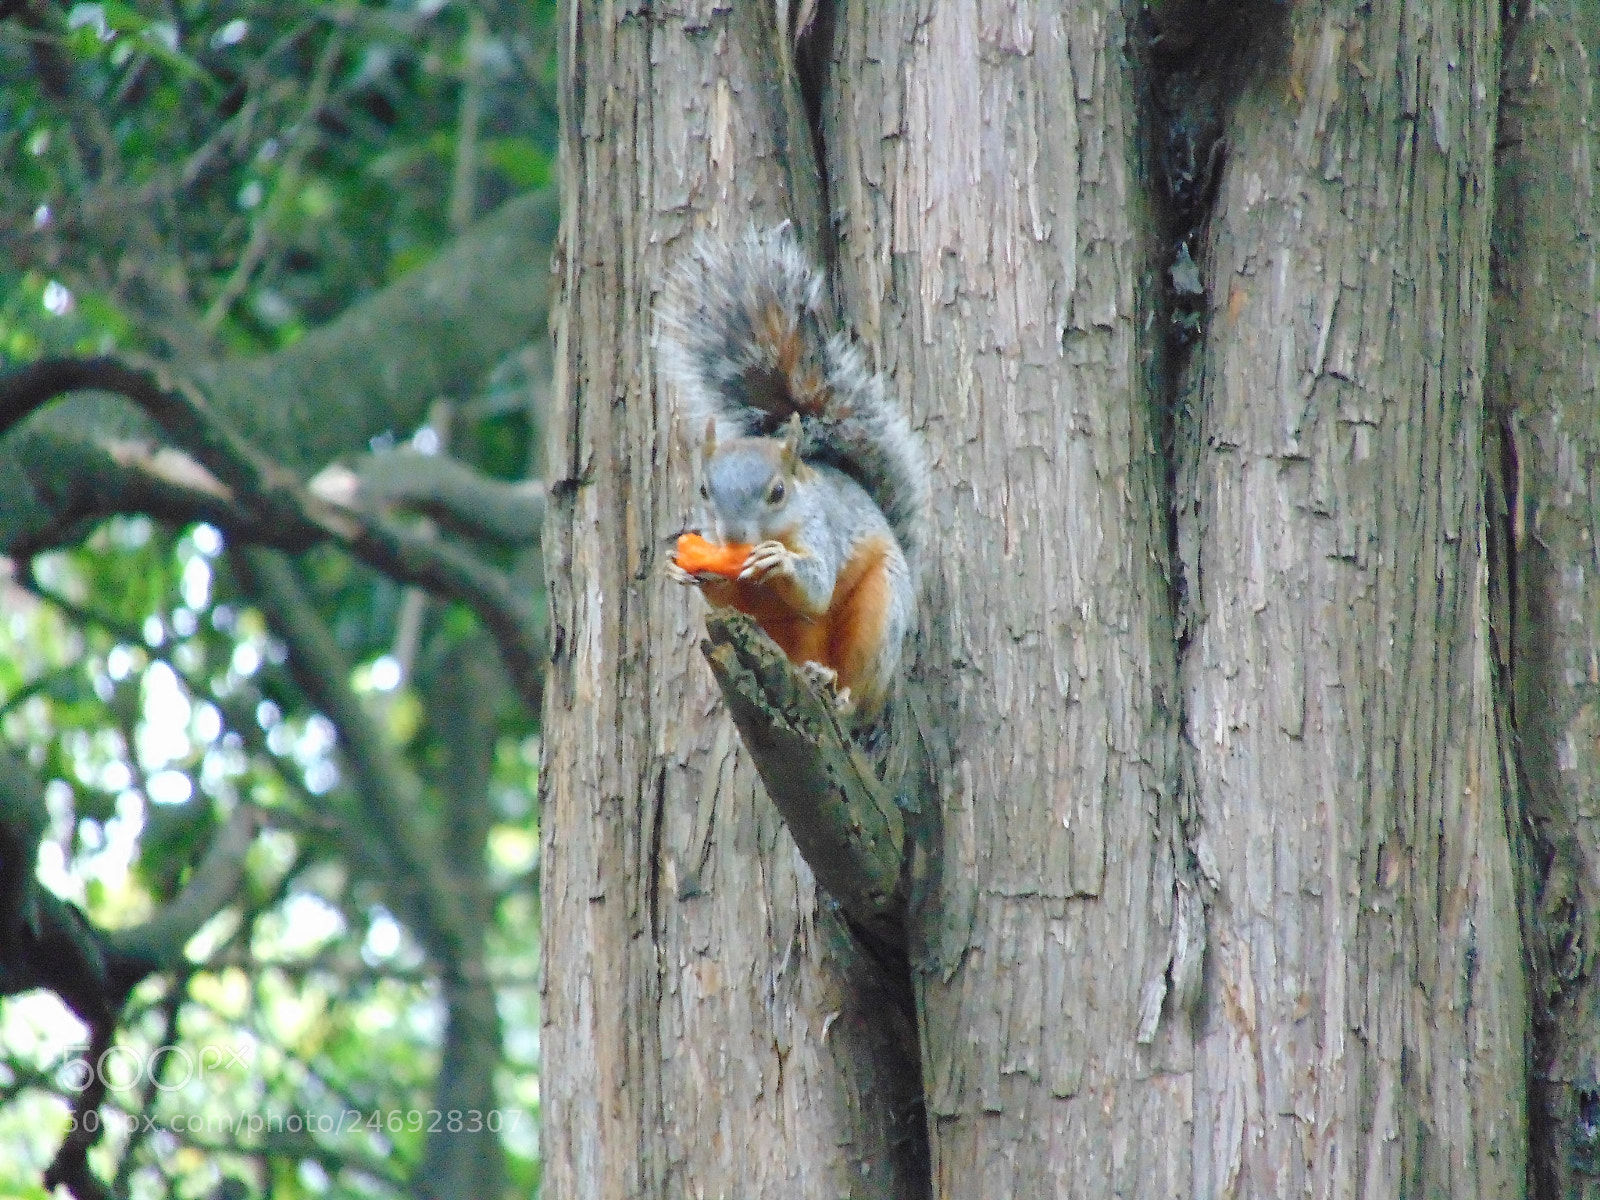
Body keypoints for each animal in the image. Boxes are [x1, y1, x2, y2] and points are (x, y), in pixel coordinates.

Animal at [657, 226, 929, 724]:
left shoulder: (823, 530)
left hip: (879, 614)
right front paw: (681, 567)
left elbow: (817, 587)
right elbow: (730, 600)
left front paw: (778, 560)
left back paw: (840, 693)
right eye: (703, 489)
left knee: (859, 686)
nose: (733, 536)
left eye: (778, 492)